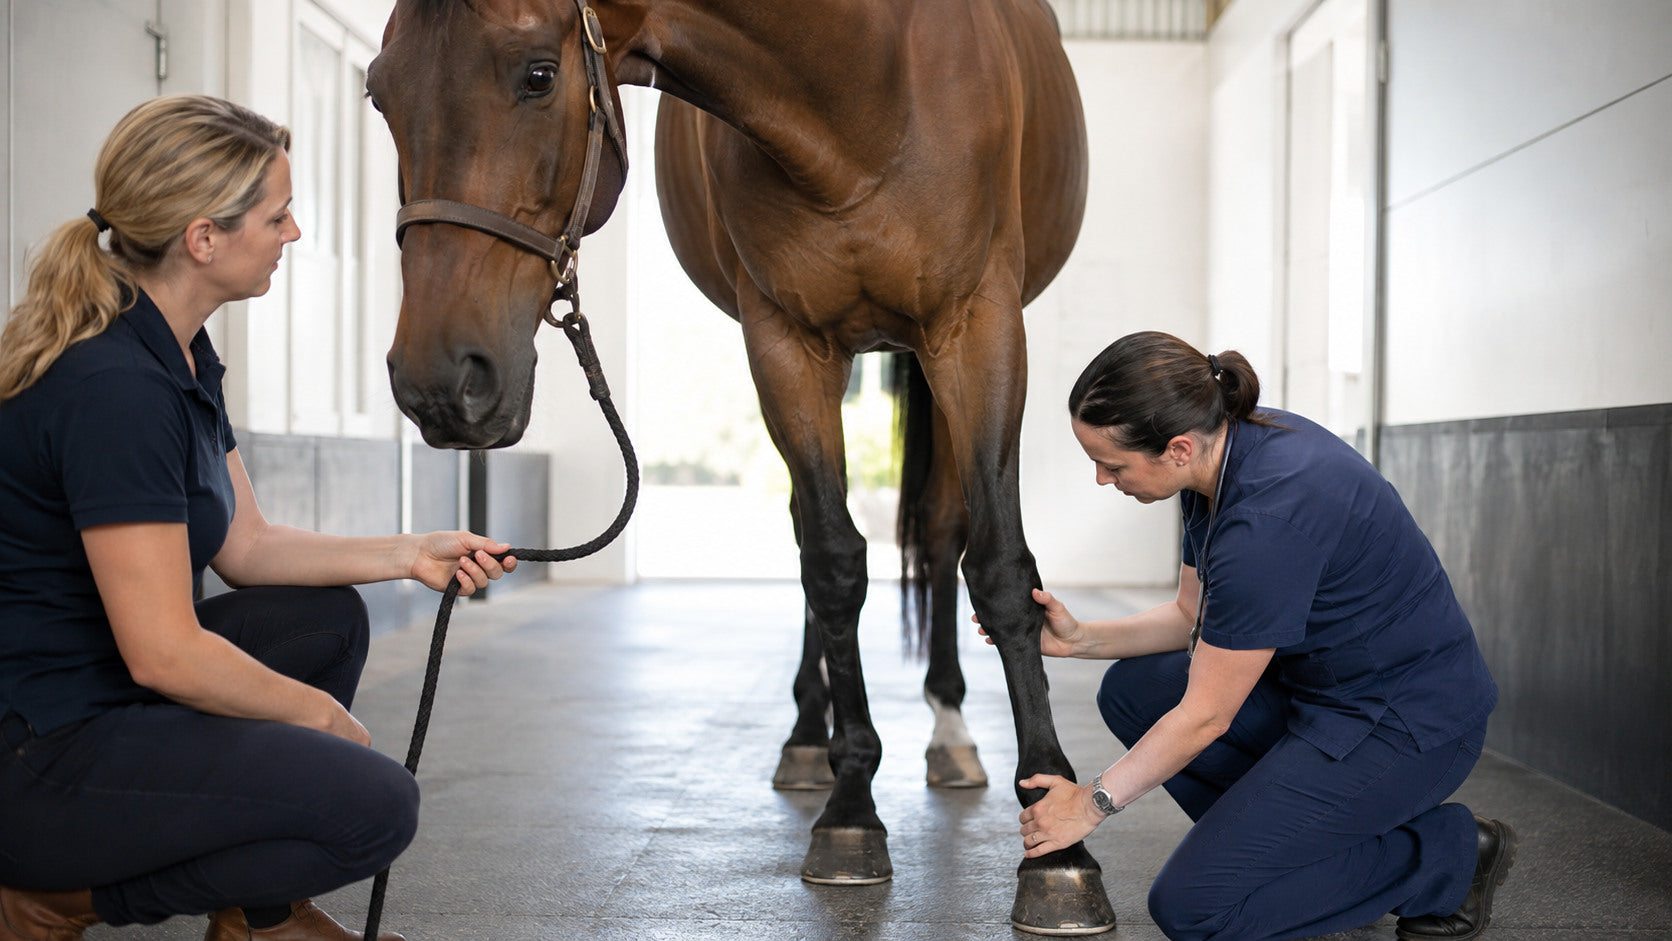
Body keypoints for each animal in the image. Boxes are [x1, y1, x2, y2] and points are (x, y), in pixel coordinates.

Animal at [367, 0, 1109, 932]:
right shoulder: (784, 341)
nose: (436, 382)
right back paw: (810, 741)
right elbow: (832, 563)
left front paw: (1059, 845)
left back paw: (949, 729)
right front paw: (851, 808)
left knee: (941, 533)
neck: (863, 83)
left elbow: (1004, 569)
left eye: (538, 74)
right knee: (815, 536)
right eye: (379, 94)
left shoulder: (978, 325)